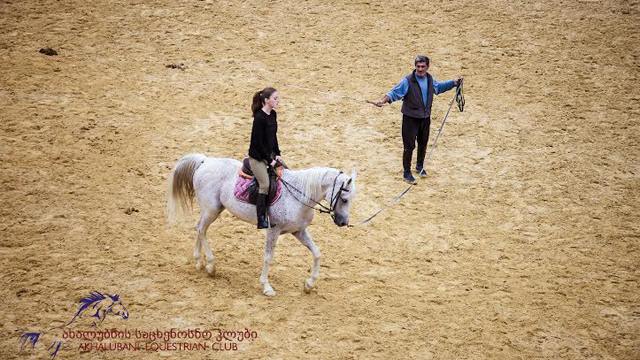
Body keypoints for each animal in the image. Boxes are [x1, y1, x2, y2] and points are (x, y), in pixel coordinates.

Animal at [166, 153, 356, 296]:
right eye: (344, 199)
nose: (343, 222)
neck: (298, 195)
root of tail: (205, 161)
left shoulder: (299, 231)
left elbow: (316, 253)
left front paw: (309, 284)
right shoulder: (273, 230)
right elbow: (268, 257)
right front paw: (266, 287)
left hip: (212, 210)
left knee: (200, 228)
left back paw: (199, 262)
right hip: (211, 209)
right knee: (201, 229)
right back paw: (211, 266)